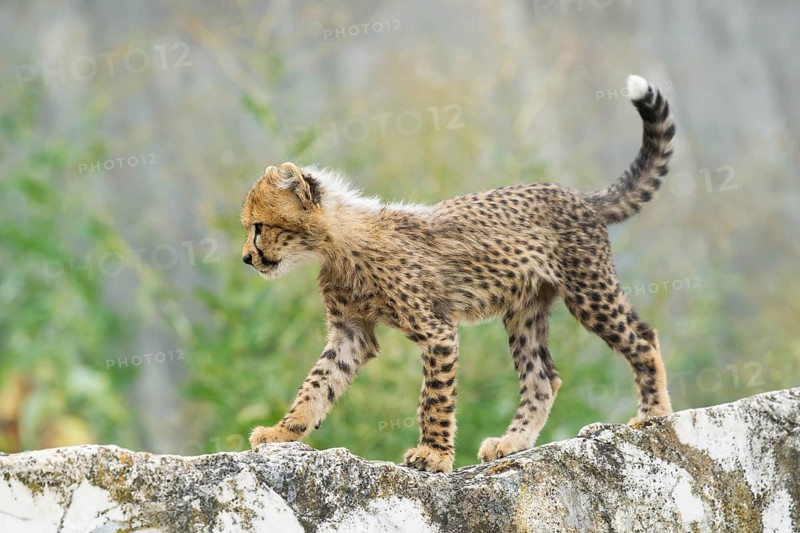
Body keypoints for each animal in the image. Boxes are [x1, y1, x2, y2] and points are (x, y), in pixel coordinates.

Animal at [240, 75, 676, 473]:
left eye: (259, 226)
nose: (246, 258)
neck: (338, 243)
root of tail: (577, 195)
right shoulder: (352, 331)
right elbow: (318, 382)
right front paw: (282, 430)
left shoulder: (436, 331)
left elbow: (435, 397)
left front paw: (433, 454)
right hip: (524, 310)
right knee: (543, 378)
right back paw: (512, 442)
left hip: (588, 291)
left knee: (642, 336)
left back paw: (654, 413)